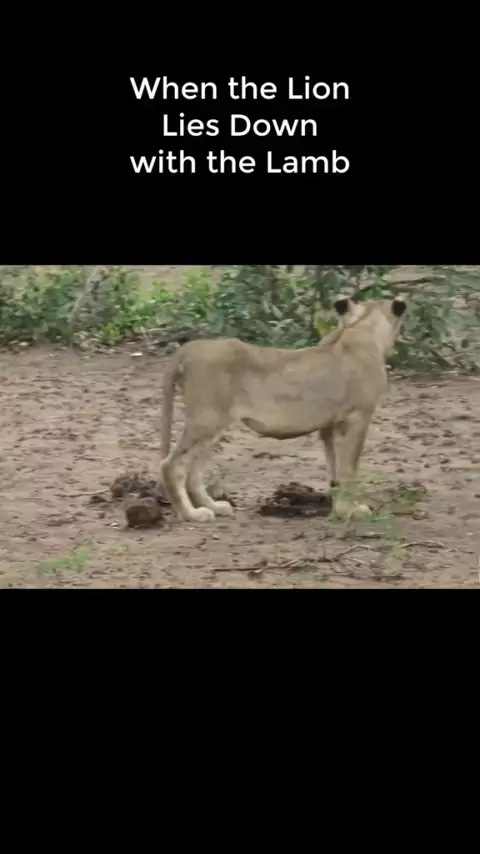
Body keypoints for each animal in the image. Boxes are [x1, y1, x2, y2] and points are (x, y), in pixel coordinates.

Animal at [159, 295, 407, 523]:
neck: (361, 328)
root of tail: (189, 348)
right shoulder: (357, 417)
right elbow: (350, 468)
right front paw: (351, 512)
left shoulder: (329, 425)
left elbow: (336, 467)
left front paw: (339, 508)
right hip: (207, 420)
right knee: (172, 465)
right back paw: (190, 514)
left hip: (212, 426)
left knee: (193, 470)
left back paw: (215, 506)